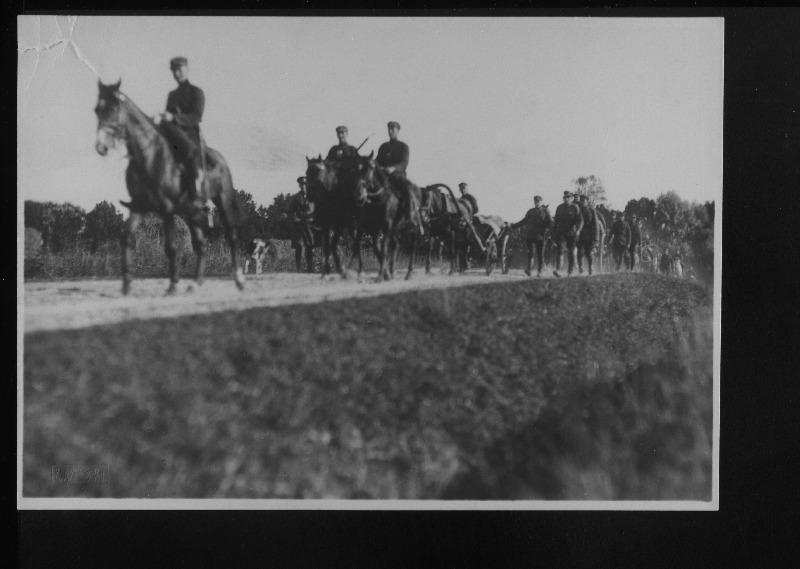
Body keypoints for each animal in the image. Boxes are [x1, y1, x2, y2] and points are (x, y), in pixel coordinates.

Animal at [93, 79, 244, 292]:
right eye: (97, 110)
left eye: (114, 107)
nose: (101, 146)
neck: (149, 156)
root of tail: (219, 158)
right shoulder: (138, 207)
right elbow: (127, 238)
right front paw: (127, 284)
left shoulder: (166, 209)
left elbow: (171, 247)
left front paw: (172, 284)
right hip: (191, 210)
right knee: (202, 243)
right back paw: (195, 283)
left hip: (223, 199)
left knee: (232, 234)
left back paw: (239, 279)